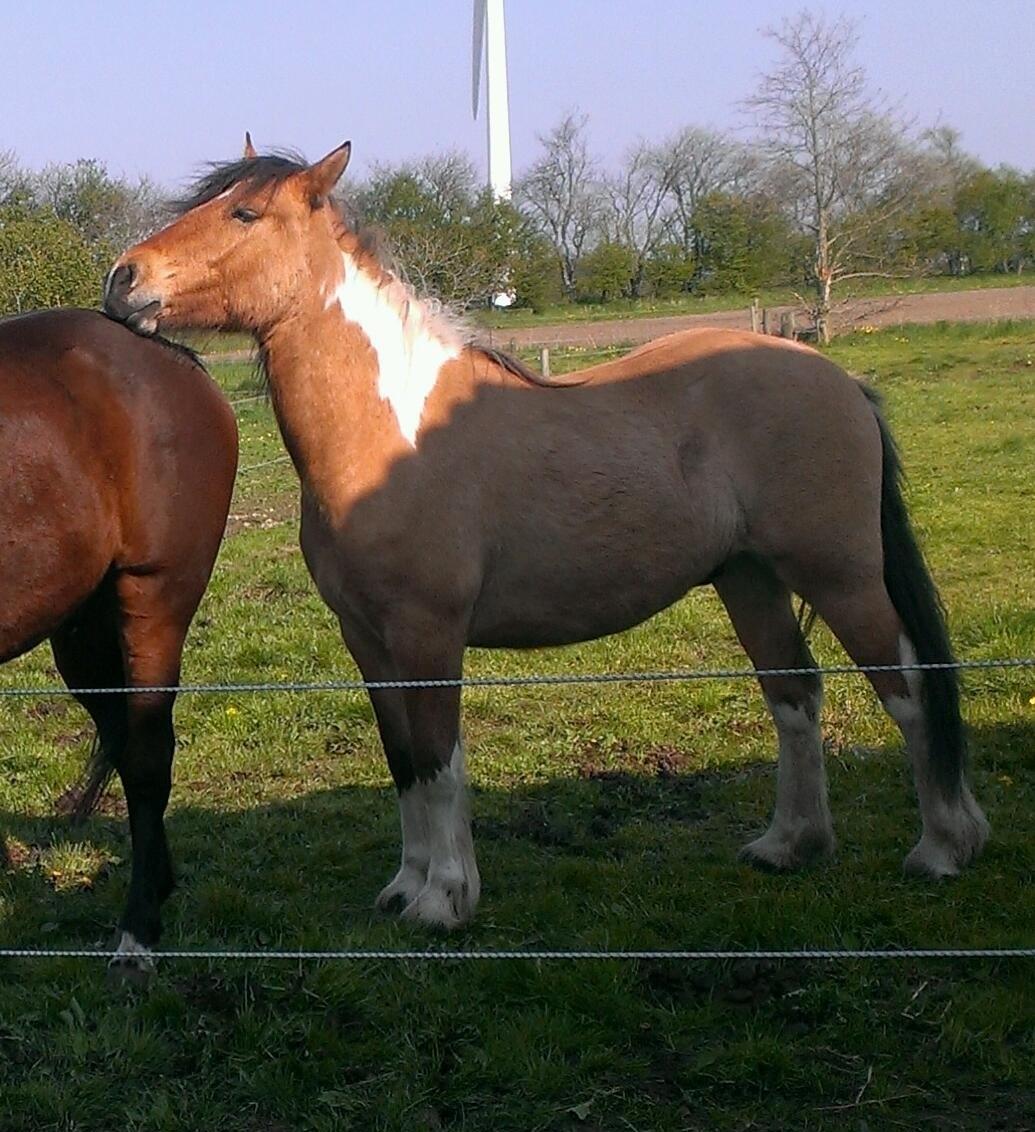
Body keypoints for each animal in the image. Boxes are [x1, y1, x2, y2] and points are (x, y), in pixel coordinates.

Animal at [0, 310, 235, 973]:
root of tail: (176, 361)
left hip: (153, 601)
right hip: (82, 635)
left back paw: (139, 931)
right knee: (128, 743)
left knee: (148, 755)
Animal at [104, 141, 982, 932]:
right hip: (748, 578)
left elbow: (440, 759)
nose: (123, 279)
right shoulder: (366, 640)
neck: (390, 435)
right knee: (794, 694)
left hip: (840, 575)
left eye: (244, 213)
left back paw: (943, 848)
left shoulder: (428, 634)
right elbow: (402, 762)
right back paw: (789, 844)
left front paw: (443, 901)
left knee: (907, 688)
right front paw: (403, 887)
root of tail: (841, 381)